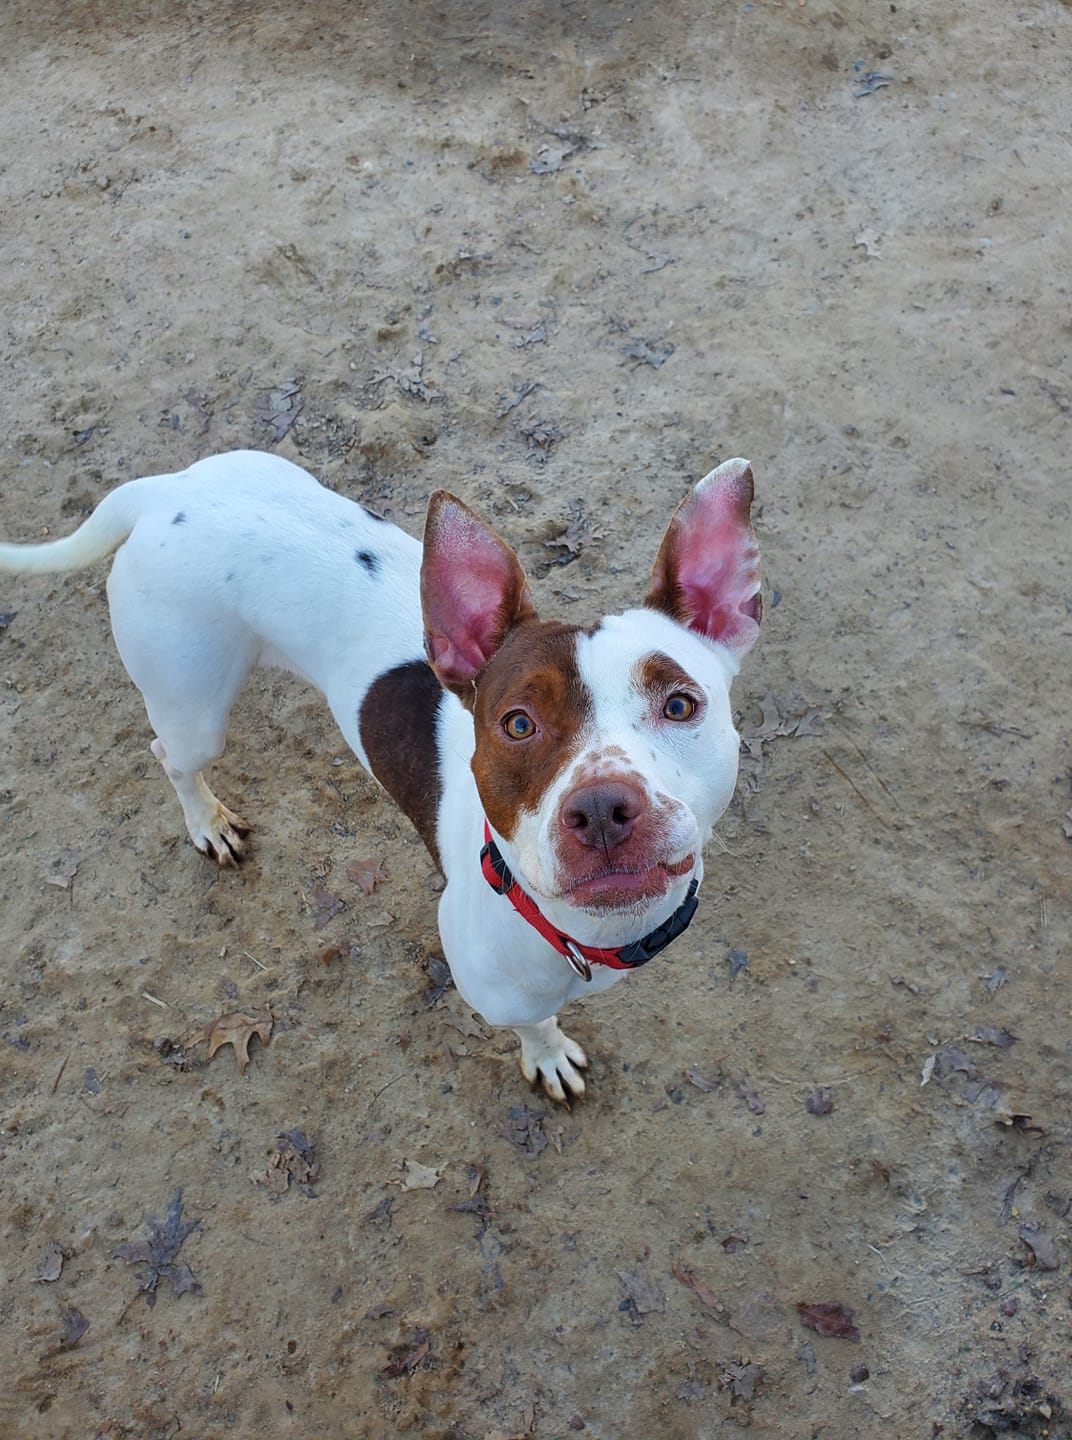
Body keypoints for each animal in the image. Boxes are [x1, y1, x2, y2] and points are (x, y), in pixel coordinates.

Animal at [0, 449, 760, 1100]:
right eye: (517, 724)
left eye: (680, 704)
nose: (602, 809)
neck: (596, 934)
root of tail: (165, 491)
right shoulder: (493, 989)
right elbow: (534, 1025)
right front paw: (546, 1055)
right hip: (193, 707)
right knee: (169, 754)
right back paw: (207, 822)